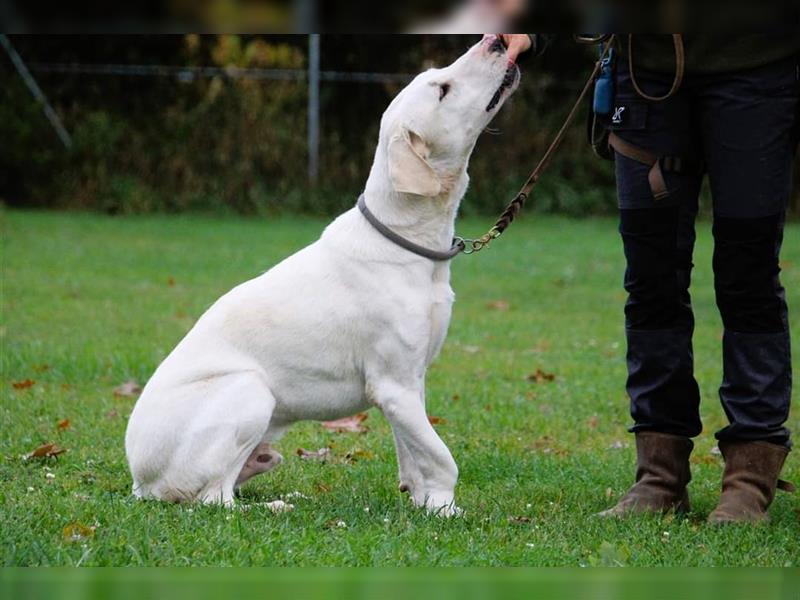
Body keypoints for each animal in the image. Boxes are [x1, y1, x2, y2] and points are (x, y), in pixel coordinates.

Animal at [125, 36, 520, 516]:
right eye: (442, 89)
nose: (496, 40)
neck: (407, 243)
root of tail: (139, 482)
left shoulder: (409, 384)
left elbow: (414, 453)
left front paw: (423, 503)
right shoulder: (394, 386)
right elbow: (441, 456)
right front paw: (446, 510)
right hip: (251, 391)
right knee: (214, 499)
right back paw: (276, 507)